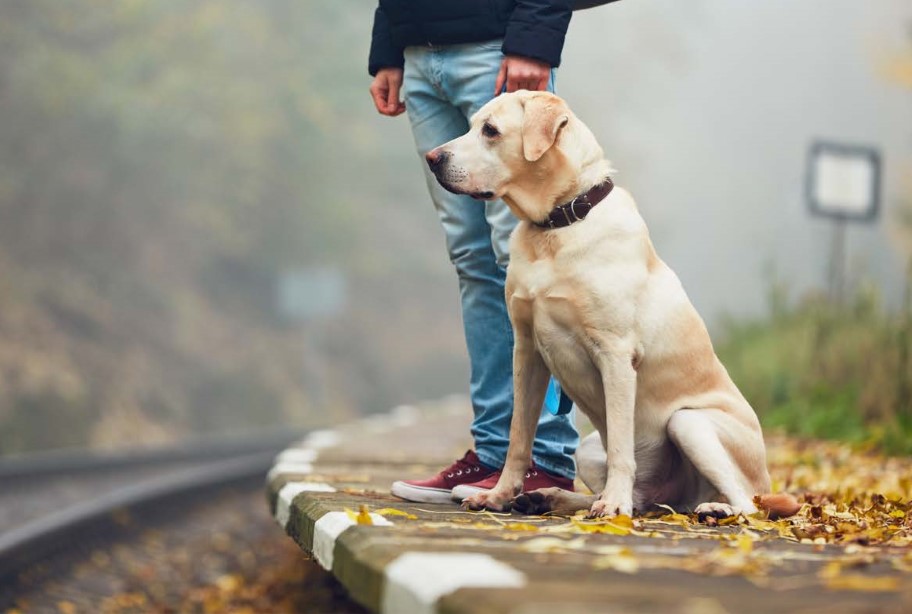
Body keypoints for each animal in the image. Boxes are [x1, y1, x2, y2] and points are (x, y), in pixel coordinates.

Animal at [424, 91, 796, 524]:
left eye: (491, 131)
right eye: (471, 125)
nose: (432, 157)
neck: (558, 224)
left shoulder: (615, 355)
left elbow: (621, 444)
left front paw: (614, 504)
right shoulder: (527, 351)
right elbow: (518, 438)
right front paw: (499, 495)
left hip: (689, 423)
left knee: (747, 504)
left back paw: (711, 508)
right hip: (589, 448)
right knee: (640, 499)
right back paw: (549, 497)